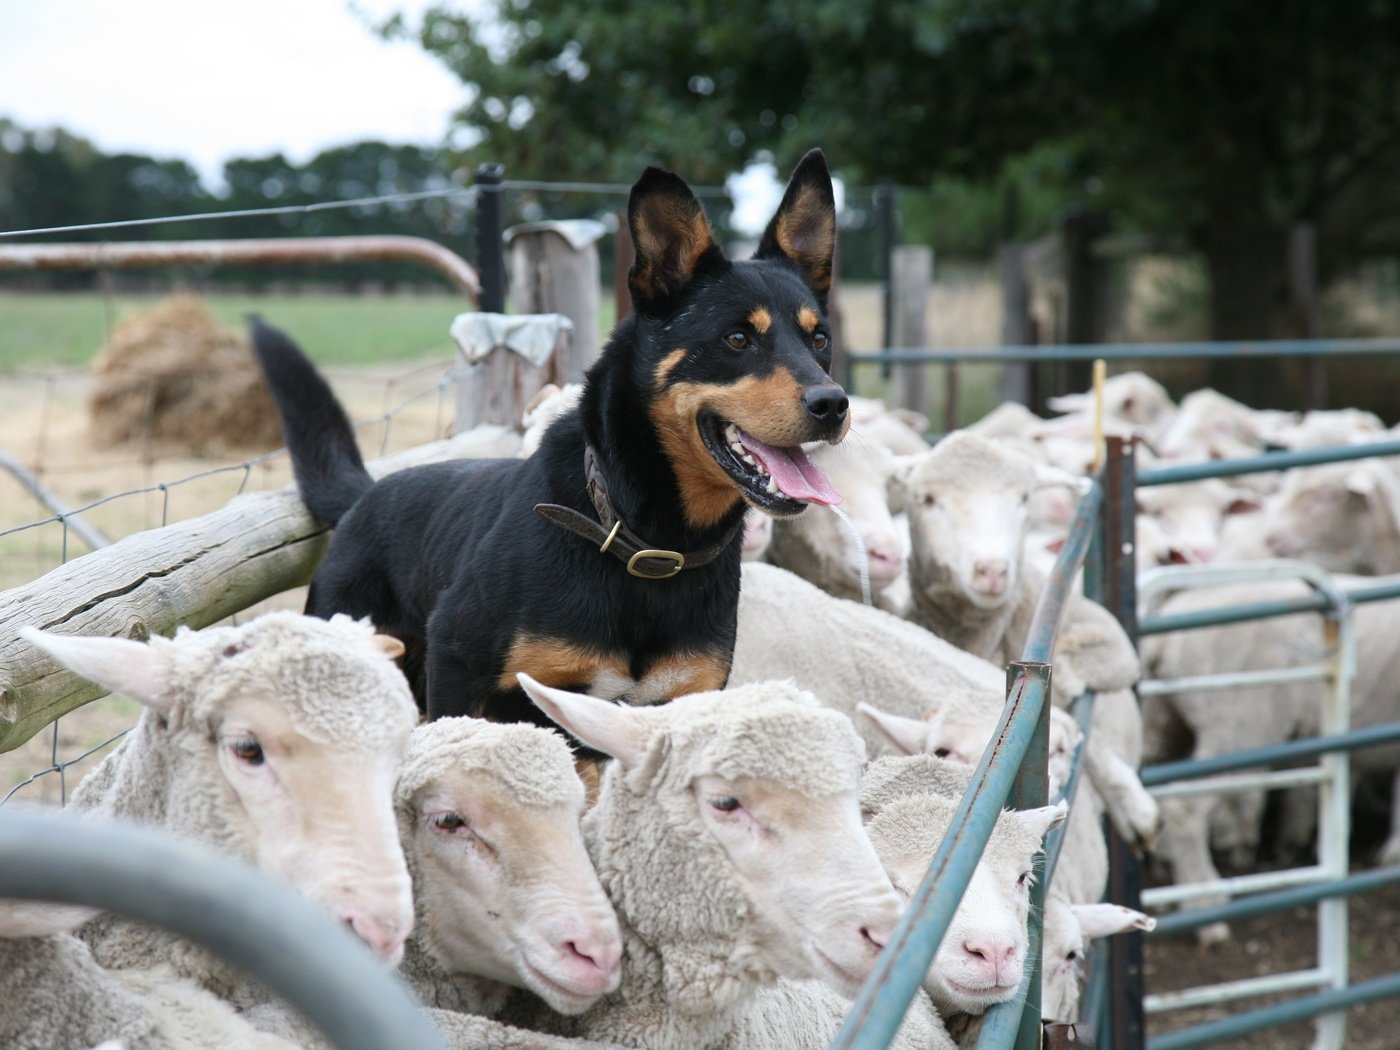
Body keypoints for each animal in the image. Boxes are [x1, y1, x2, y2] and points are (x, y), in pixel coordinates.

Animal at [257, 149, 851, 739]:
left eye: (820, 339)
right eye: (737, 338)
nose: (833, 405)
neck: (649, 543)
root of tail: (364, 497)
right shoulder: (457, 668)